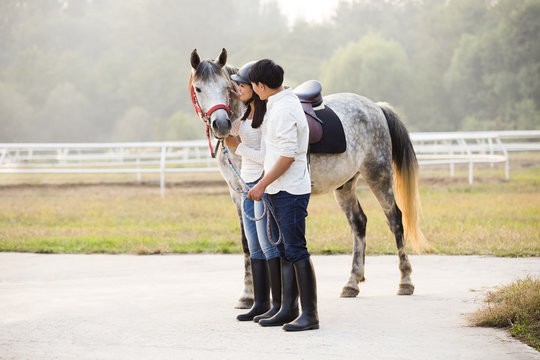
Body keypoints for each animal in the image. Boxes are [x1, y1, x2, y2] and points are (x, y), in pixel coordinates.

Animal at [188, 47, 428, 306]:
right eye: (199, 88)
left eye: (226, 87)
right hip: (345, 185)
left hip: (378, 176)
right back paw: (352, 282)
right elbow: (247, 242)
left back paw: (405, 280)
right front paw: (248, 295)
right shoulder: (238, 194)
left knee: (395, 219)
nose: (221, 124)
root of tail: (375, 107)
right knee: (359, 223)